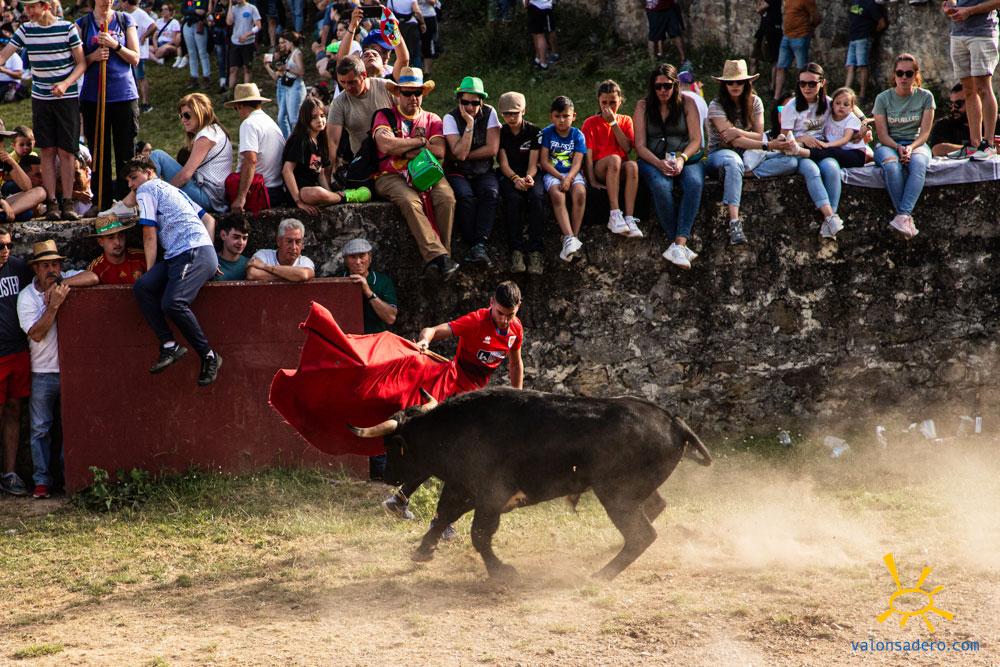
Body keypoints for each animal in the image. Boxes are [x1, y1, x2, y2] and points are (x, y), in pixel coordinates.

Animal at [349, 387, 713, 580]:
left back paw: (602, 574)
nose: (386, 476)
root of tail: (675, 423)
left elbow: (478, 534)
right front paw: (423, 551)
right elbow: (442, 517)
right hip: (632, 492)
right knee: (654, 508)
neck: (453, 430)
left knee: (642, 534)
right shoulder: (462, 489)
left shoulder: (490, 496)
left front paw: (501, 571)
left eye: (392, 447)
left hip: (616, 495)